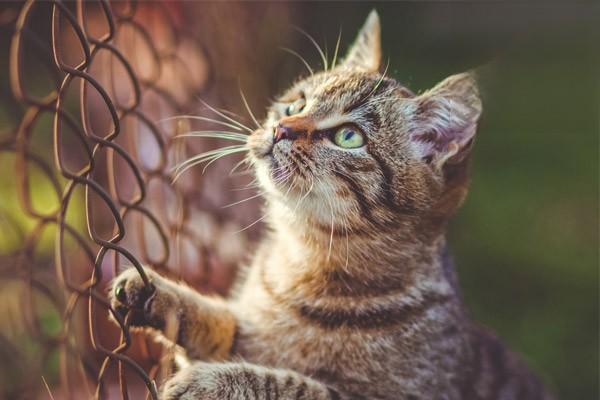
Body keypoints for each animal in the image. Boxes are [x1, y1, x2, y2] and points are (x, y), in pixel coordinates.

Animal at [109, 9, 552, 400]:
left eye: (348, 136)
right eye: (296, 104)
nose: (281, 129)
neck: (305, 259)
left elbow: (287, 382)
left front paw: (212, 382)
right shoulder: (244, 333)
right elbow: (220, 322)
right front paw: (156, 293)